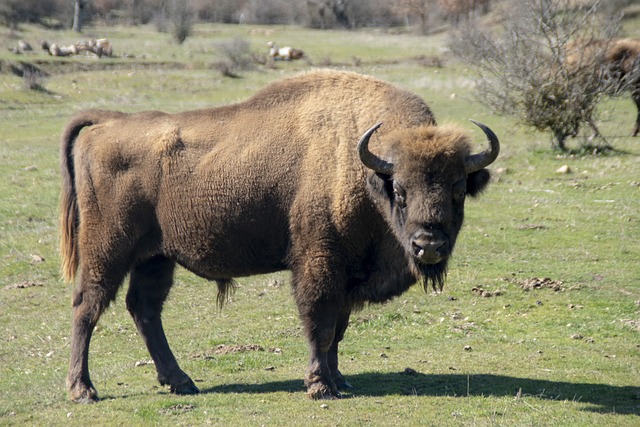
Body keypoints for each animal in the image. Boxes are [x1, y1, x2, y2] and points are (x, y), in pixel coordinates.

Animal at [60, 68, 500, 402]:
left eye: (458, 189)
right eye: (402, 191)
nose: (429, 246)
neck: (365, 169)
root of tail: (107, 123)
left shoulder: (347, 275)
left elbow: (338, 328)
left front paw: (340, 380)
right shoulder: (319, 263)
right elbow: (320, 322)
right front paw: (320, 386)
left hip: (156, 257)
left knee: (145, 309)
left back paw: (182, 382)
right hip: (108, 249)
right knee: (87, 306)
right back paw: (84, 390)